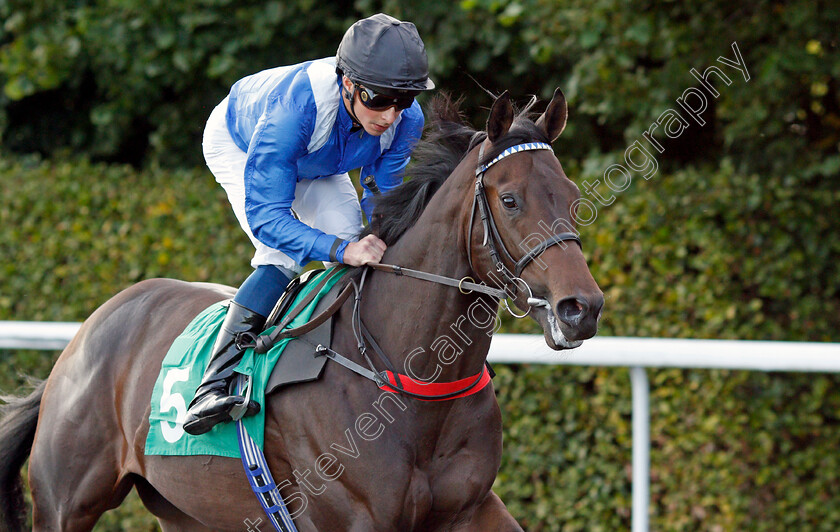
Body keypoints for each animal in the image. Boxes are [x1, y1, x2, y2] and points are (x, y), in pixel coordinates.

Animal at [0, 89, 604, 528]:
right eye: (510, 200)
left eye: (572, 194)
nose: (582, 308)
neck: (410, 377)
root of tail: (85, 334)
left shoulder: (472, 509)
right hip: (66, 503)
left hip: (190, 511)